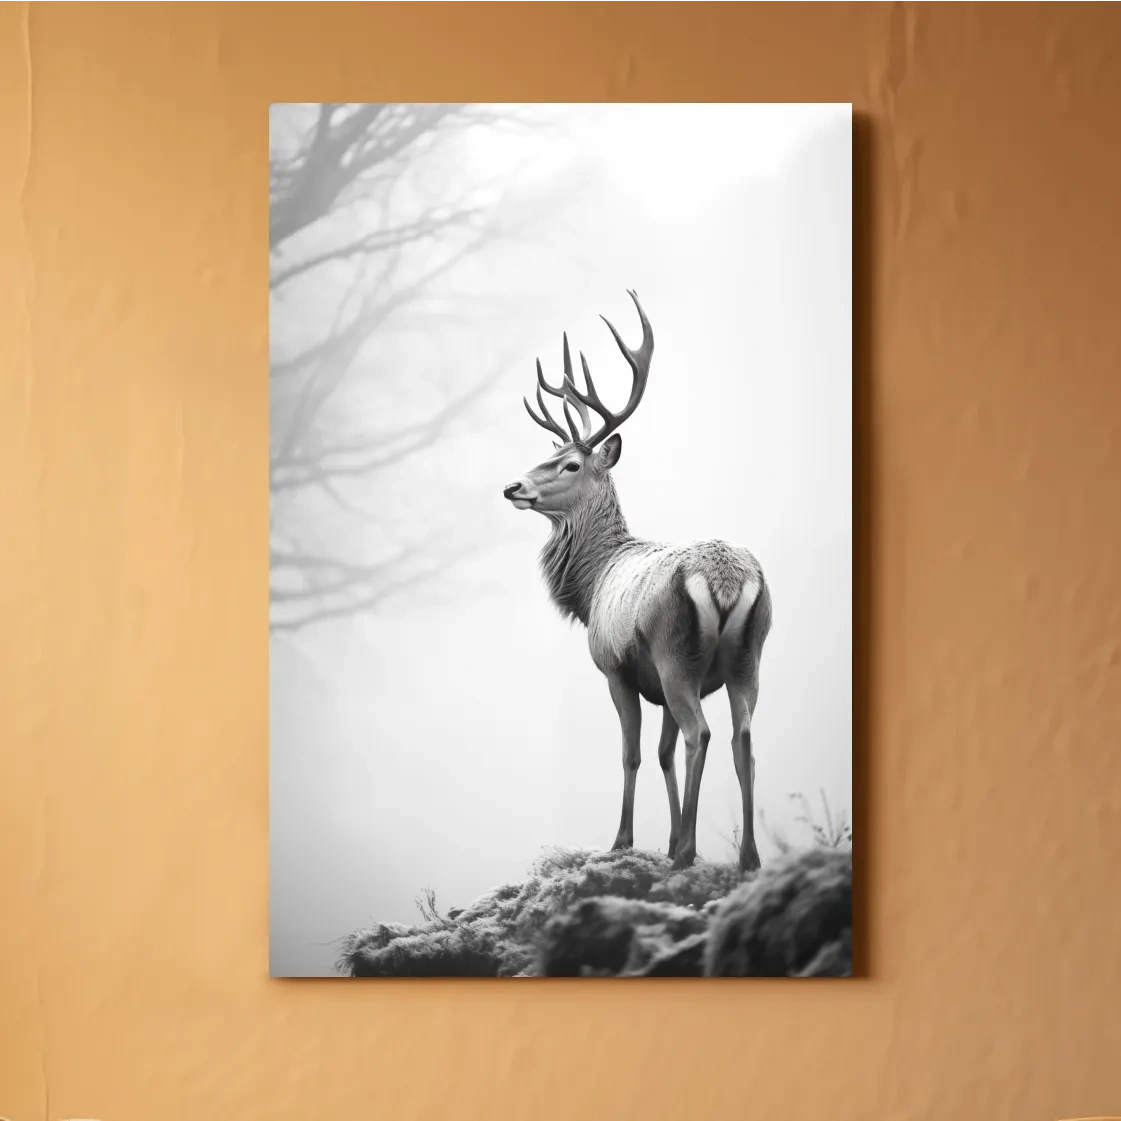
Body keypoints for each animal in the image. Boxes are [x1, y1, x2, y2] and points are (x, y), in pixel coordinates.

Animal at [502, 290, 773, 874]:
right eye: (549, 454)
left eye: (570, 463)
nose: (512, 486)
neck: (592, 584)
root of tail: (725, 580)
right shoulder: (658, 685)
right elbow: (664, 753)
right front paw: (667, 838)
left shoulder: (616, 667)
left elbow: (633, 754)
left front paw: (625, 841)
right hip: (747, 657)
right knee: (741, 738)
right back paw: (747, 858)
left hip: (675, 652)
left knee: (702, 733)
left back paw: (689, 853)